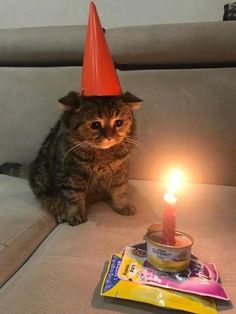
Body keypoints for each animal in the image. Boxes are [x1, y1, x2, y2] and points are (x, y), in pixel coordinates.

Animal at [18, 91, 141, 226]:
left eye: (119, 123)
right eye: (95, 124)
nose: (109, 137)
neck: (102, 154)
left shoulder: (121, 170)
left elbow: (120, 191)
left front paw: (122, 205)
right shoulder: (70, 175)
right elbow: (74, 197)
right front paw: (76, 214)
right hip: (43, 183)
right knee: (52, 201)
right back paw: (61, 213)